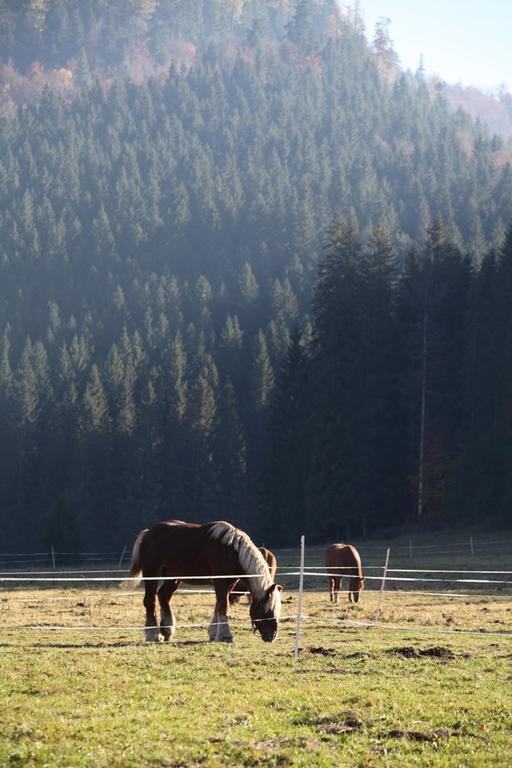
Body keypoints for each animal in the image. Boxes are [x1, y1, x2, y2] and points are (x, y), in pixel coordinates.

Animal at [124, 520, 284, 640]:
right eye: (268, 609)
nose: (272, 636)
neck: (232, 551)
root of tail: (148, 532)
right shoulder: (220, 582)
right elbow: (223, 606)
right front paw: (225, 636)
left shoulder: (229, 584)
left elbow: (219, 606)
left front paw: (213, 633)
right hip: (152, 573)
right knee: (150, 601)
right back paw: (153, 634)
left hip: (173, 576)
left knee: (163, 597)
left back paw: (167, 630)